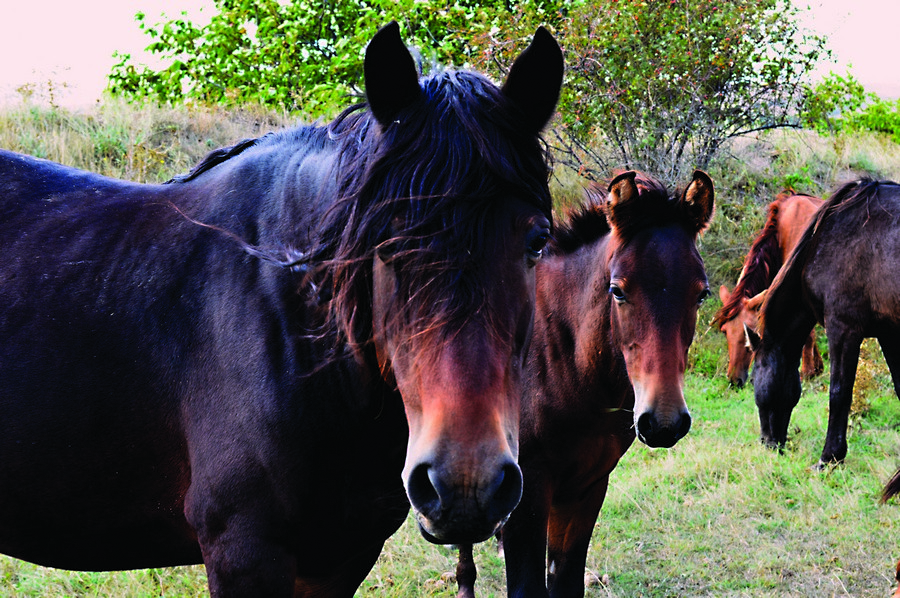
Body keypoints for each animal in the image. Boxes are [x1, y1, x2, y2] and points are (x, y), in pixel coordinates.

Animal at [458, 170, 716, 598]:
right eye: (618, 290)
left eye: (701, 293)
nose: (663, 422)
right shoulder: (529, 495)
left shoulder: (587, 487)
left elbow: (565, 580)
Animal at [712, 192, 828, 390]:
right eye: (725, 331)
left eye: (750, 331)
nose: (734, 380)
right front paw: (817, 368)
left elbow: (808, 335)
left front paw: (807, 373)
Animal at [752, 178, 900, 468]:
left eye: (753, 381)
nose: (768, 444)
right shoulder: (889, 334)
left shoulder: (843, 329)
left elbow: (839, 392)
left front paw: (830, 457)